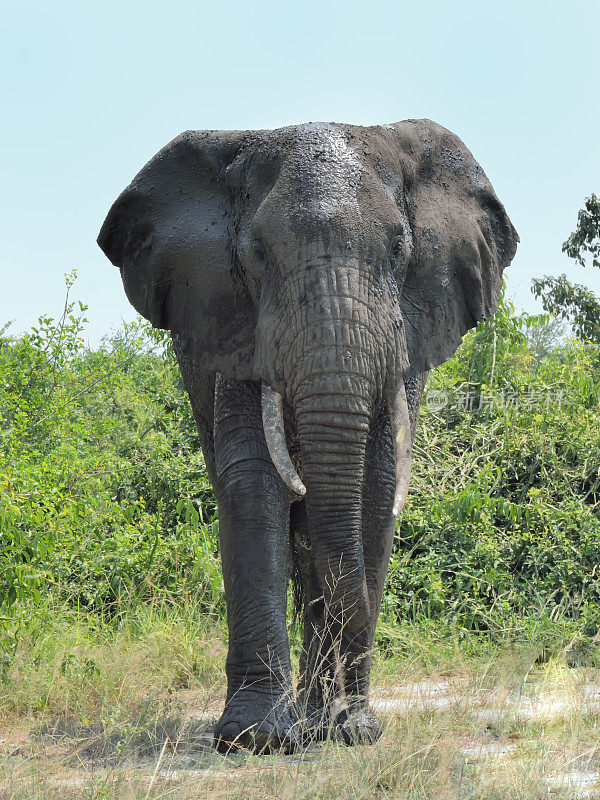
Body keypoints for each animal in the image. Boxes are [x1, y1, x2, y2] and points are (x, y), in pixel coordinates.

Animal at [97, 119, 516, 752]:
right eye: (256, 255)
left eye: (400, 249)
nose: (349, 717)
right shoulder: (236, 327)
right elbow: (253, 483)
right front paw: (254, 739)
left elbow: (375, 490)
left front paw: (354, 729)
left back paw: (321, 722)